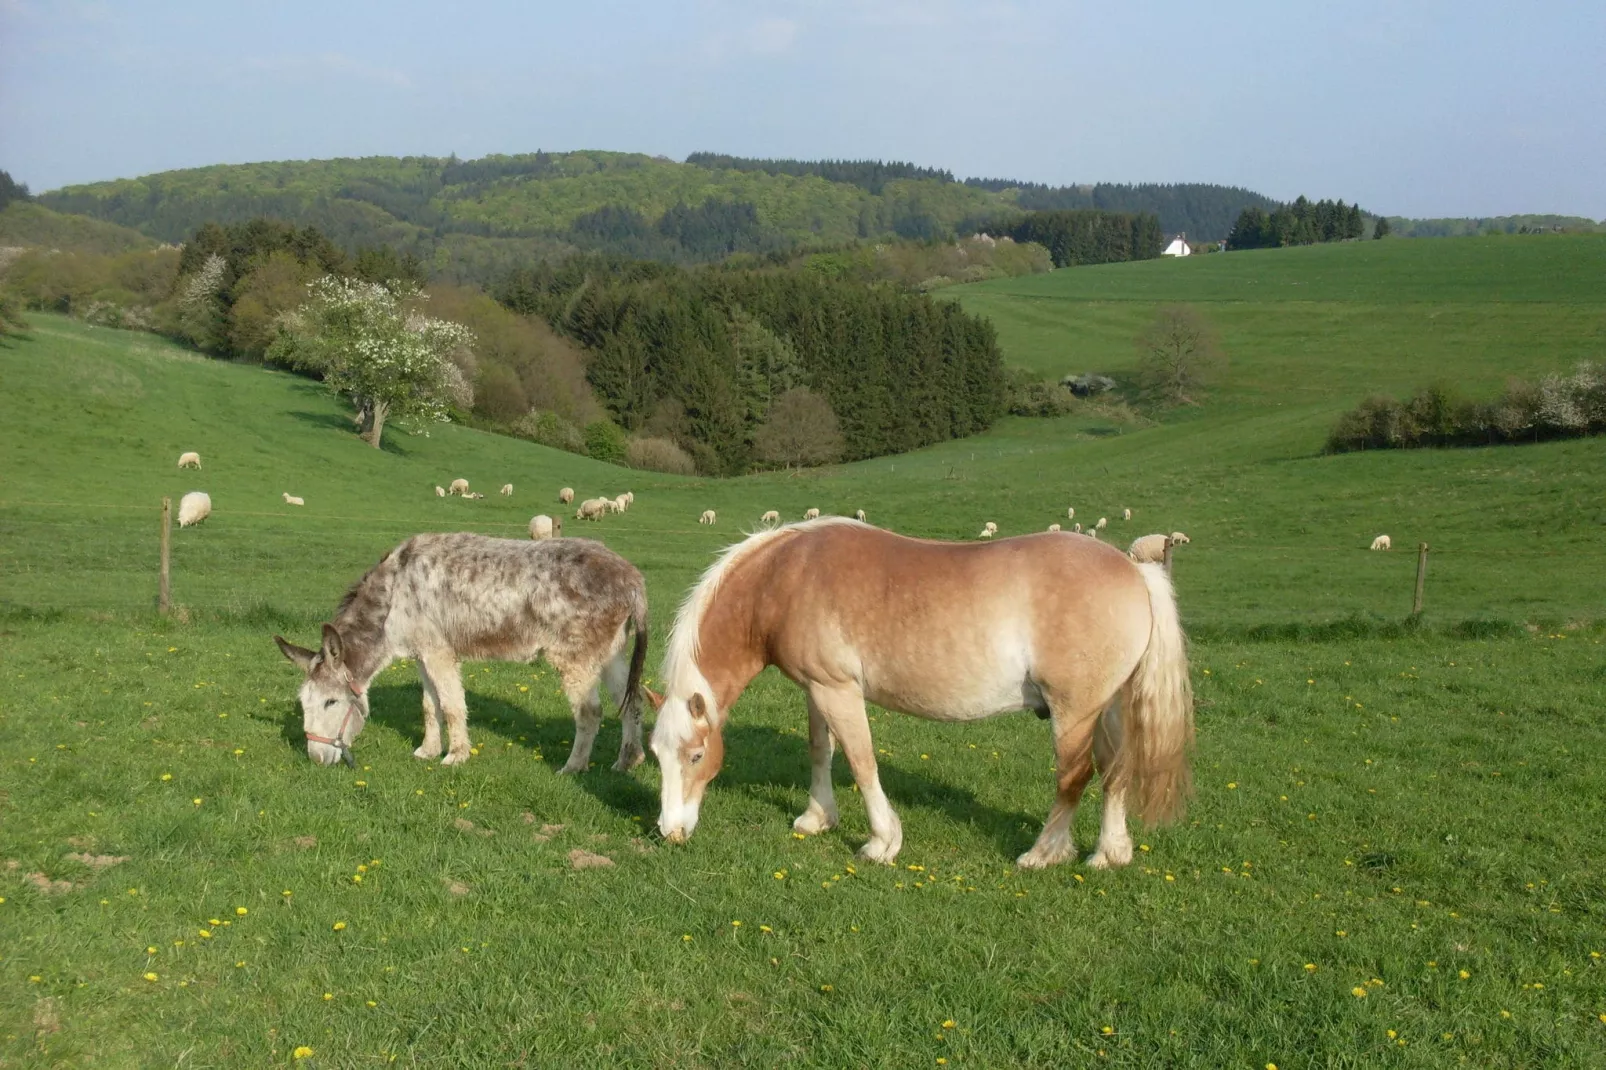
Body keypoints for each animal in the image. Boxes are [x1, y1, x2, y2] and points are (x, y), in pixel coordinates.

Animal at [276, 530, 645, 771]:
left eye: (330, 702)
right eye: (303, 704)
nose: (316, 760)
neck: (394, 595)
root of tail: (633, 579)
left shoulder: (439, 654)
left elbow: (452, 705)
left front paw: (455, 755)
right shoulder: (422, 655)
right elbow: (430, 706)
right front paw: (428, 750)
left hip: (575, 659)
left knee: (590, 713)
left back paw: (573, 767)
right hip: (610, 655)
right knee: (631, 701)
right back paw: (628, 761)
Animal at [648, 517, 1194, 867]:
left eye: (696, 756)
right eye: (653, 756)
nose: (670, 832)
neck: (784, 577)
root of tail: (1135, 571)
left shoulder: (838, 691)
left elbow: (861, 760)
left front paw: (881, 843)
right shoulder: (817, 690)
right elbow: (821, 750)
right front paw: (817, 818)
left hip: (1074, 712)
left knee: (1074, 777)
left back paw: (1042, 854)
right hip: (1108, 708)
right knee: (1115, 771)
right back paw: (1108, 854)